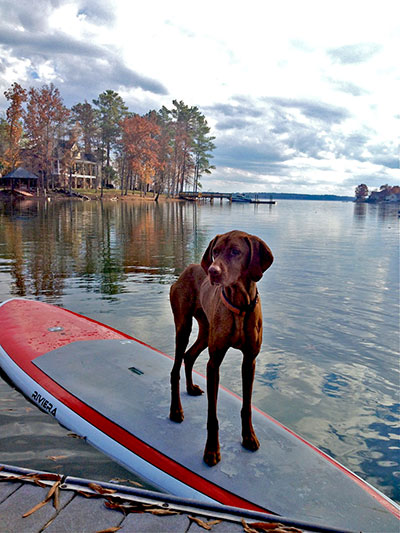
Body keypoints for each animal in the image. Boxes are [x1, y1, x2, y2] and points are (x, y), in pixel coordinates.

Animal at [167, 229, 274, 466]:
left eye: (235, 251)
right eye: (215, 251)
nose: (213, 272)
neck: (240, 305)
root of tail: (188, 268)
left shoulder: (250, 361)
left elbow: (247, 406)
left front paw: (249, 437)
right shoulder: (214, 363)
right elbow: (212, 415)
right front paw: (211, 450)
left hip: (205, 332)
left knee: (189, 356)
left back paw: (190, 388)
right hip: (183, 327)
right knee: (175, 369)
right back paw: (176, 410)